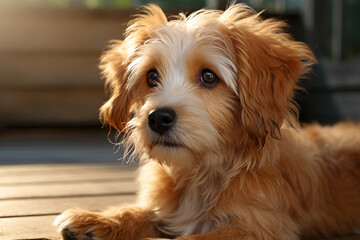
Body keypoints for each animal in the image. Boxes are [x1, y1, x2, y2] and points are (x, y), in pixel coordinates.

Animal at [54, 3, 360, 240]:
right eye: (152, 76)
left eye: (209, 76)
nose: (158, 118)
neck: (202, 173)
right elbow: (143, 212)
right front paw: (99, 219)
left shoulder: (263, 227)